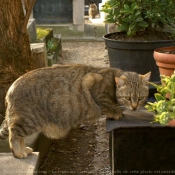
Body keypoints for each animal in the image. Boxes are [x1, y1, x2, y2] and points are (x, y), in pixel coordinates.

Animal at [0, 64, 150, 159]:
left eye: (141, 98)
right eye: (128, 98)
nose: (135, 107)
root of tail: (11, 88)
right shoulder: (91, 83)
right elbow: (106, 106)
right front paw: (116, 112)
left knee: (19, 136)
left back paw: (24, 149)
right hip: (28, 120)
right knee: (14, 134)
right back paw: (18, 152)